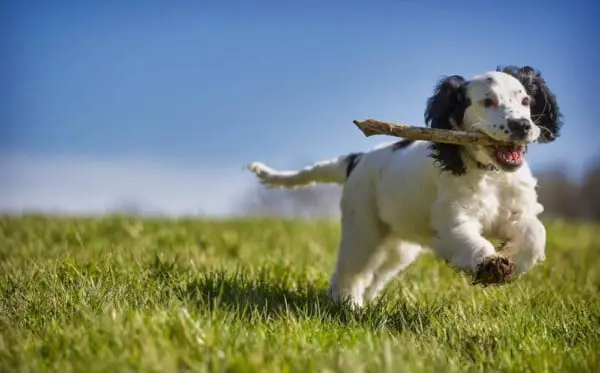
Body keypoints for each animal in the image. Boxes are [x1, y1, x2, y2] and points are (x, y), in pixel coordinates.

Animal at [247, 65, 564, 306]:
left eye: (525, 101)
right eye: (488, 102)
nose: (523, 126)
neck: (489, 174)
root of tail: (357, 159)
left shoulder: (517, 211)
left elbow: (536, 234)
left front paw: (512, 262)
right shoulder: (453, 219)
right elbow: (470, 240)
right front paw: (489, 264)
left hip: (399, 247)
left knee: (376, 275)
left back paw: (364, 304)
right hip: (363, 230)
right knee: (350, 271)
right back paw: (347, 304)